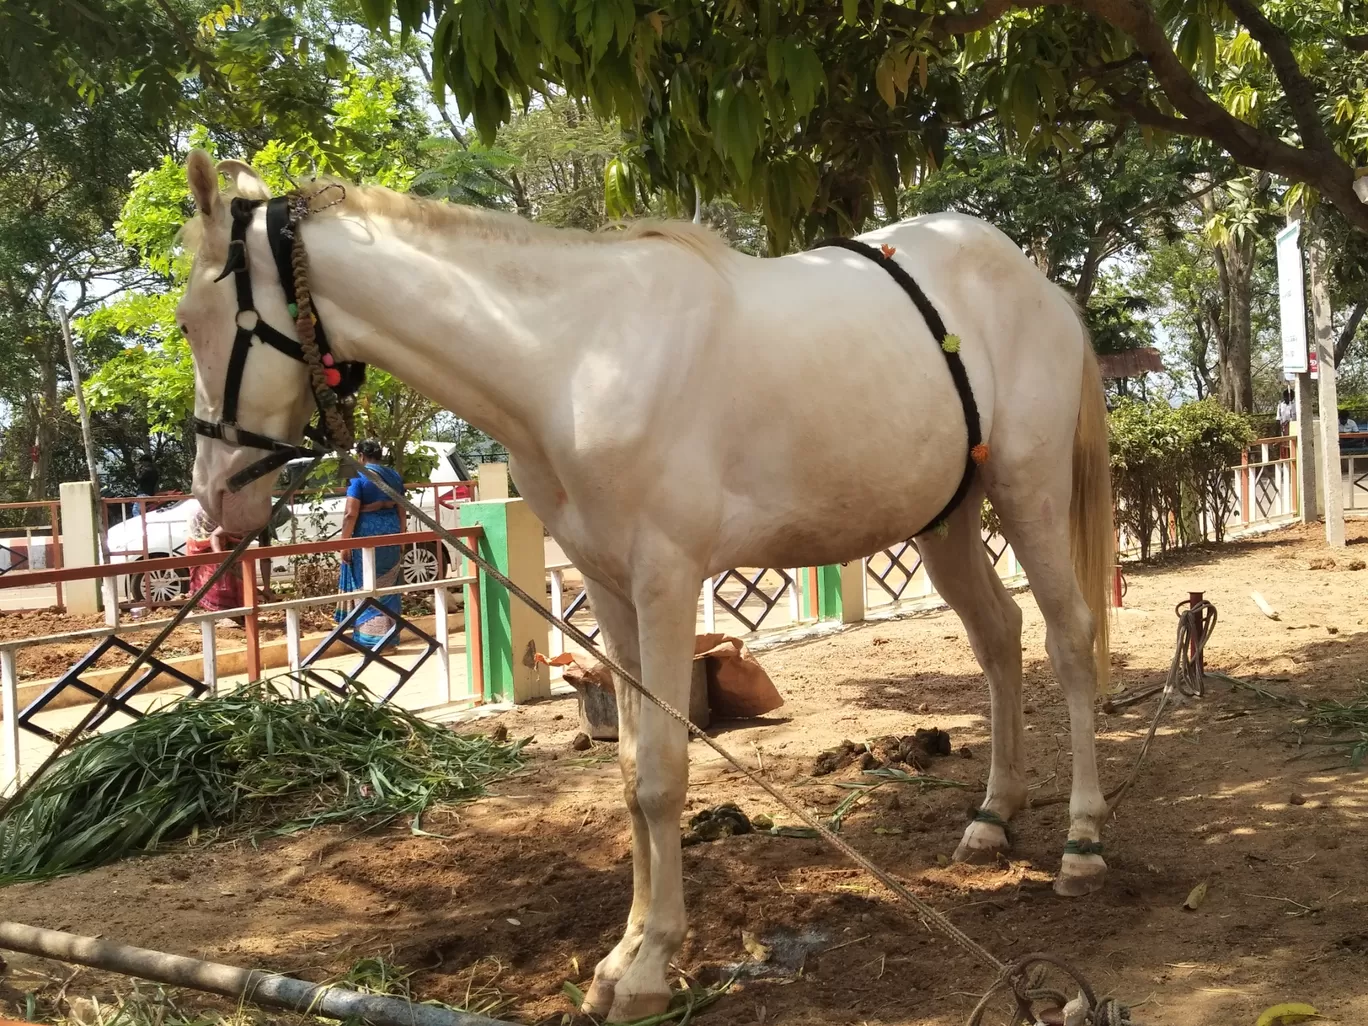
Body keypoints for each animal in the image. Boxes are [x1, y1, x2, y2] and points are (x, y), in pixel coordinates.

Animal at [176, 150, 1110, 1023]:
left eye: (193, 320)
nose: (216, 499)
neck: (573, 360)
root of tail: (1037, 285)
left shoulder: (666, 580)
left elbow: (663, 771)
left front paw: (654, 967)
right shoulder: (608, 591)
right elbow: (628, 771)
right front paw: (620, 956)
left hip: (1026, 491)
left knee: (1067, 639)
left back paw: (1083, 840)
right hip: (946, 519)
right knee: (999, 637)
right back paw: (993, 818)